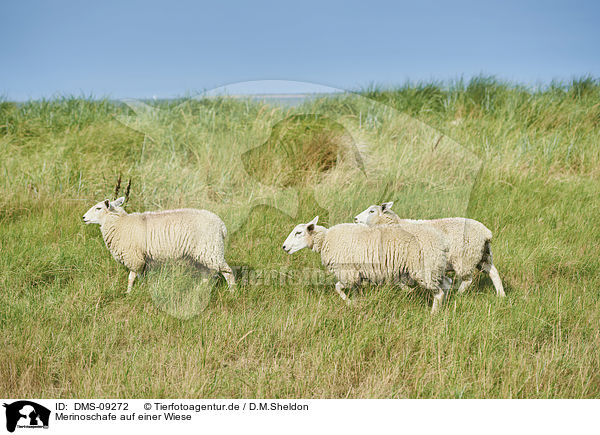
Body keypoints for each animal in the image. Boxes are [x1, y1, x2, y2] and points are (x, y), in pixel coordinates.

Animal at [81, 198, 234, 292]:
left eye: (98, 208)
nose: (83, 218)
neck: (120, 224)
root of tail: (221, 226)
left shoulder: (133, 256)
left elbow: (131, 277)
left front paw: (128, 293)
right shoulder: (141, 257)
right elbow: (140, 275)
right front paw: (142, 288)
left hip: (211, 249)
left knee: (228, 272)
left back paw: (232, 291)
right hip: (203, 252)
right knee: (207, 274)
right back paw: (198, 291)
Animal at [282, 217, 450, 314]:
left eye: (298, 233)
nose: (284, 247)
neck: (325, 240)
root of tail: (440, 241)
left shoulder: (348, 273)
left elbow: (337, 287)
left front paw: (349, 303)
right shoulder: (357, 275)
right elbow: (354, 291)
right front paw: (356, 304)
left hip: (425, 269)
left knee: (439, 293)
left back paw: (433, 314)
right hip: (436, 267)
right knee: (447, 284)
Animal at [354, 203, 504, 298]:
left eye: (372, 211)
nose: (355, 219)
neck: (395, 225)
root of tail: (486, 232)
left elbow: (398, 280)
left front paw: (408, 291)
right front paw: (408, 290)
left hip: (465, 258)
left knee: (468, 279)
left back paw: (458, 294)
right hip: (482, 256)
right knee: (493, 272)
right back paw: (501, 295)